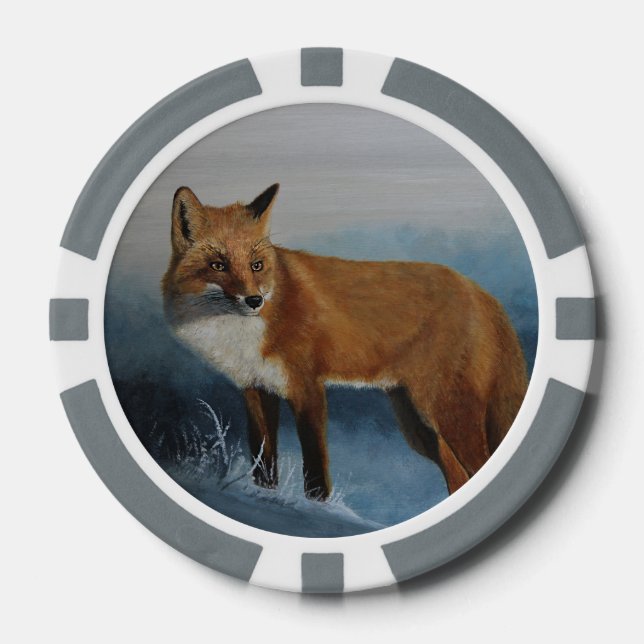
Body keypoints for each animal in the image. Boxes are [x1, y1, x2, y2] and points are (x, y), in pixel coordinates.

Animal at [161, 183, 528, 500]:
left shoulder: (307, 388)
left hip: (449, 413)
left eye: (256, 265)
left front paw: (316, 508)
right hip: (419, 425)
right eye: (218, 265)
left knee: (479, 464)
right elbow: (264, 463)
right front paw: (266, 497)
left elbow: (315, 471)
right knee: (460, 478)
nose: (254, 301)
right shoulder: (256, 390)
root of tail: (481, 292)